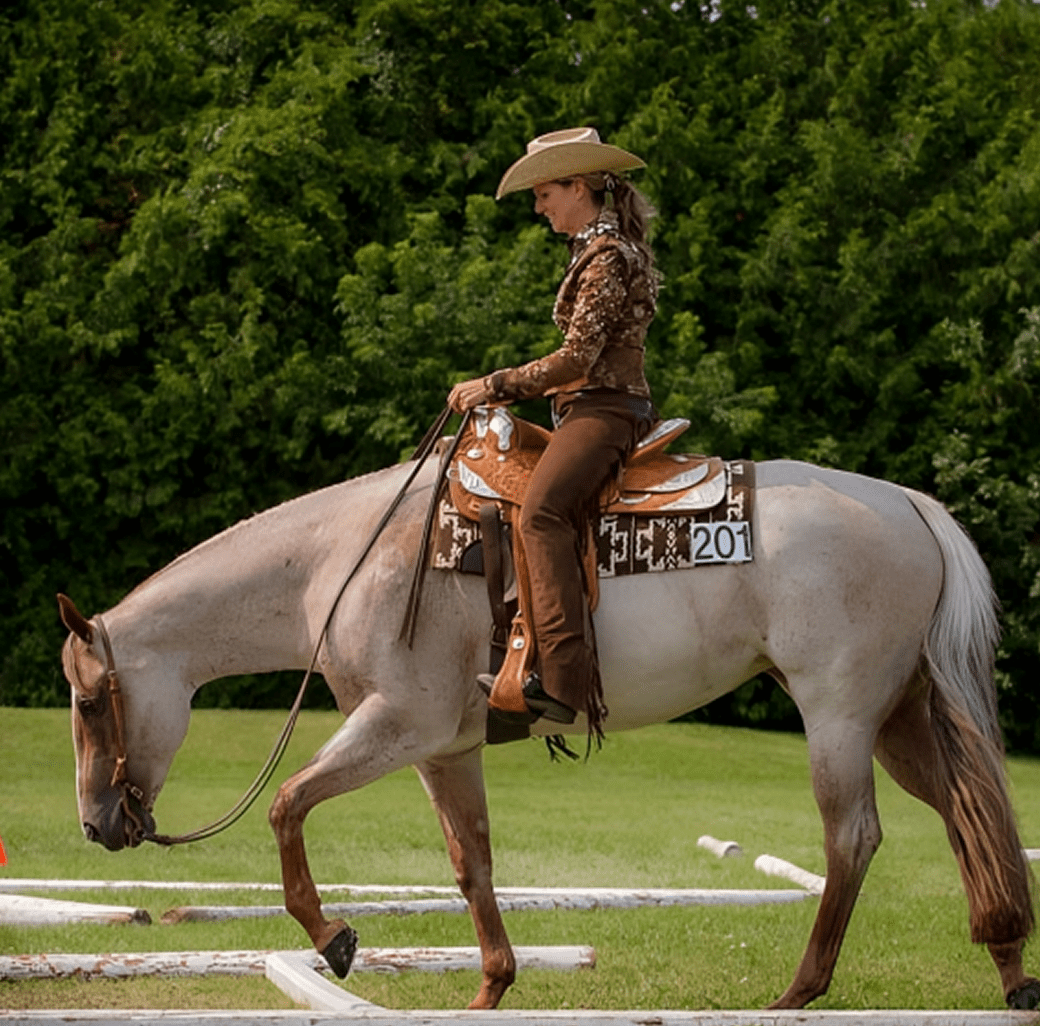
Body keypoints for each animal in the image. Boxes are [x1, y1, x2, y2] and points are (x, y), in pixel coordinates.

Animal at [57, 450, 1039, 1011]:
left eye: (88, 700)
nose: (97, 826)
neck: (339, 563)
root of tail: (910, 503)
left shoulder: (398, 723)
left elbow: (286, 806)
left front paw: (334, 939)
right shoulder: (444, 748)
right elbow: (471, 863)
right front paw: (492, 986)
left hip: (837, 713)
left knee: (854, 838)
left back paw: (801, 989)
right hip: (904, 715)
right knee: (971, 817)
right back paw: (1009, 969)